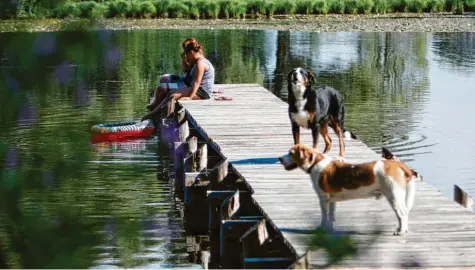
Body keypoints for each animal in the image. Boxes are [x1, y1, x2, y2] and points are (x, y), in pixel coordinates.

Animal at [278, 144, 422, 235]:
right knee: (402, 214)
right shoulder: (332, 201)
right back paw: (402, 229)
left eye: (291, 153)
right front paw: (330, 229)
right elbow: (331, 216)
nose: (279, 158)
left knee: (402, 214)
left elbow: (324, 216)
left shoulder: (323, 200)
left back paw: (401, 231)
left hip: (394, 196)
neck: (315, 163)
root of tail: (397, 164)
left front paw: (321, 229)